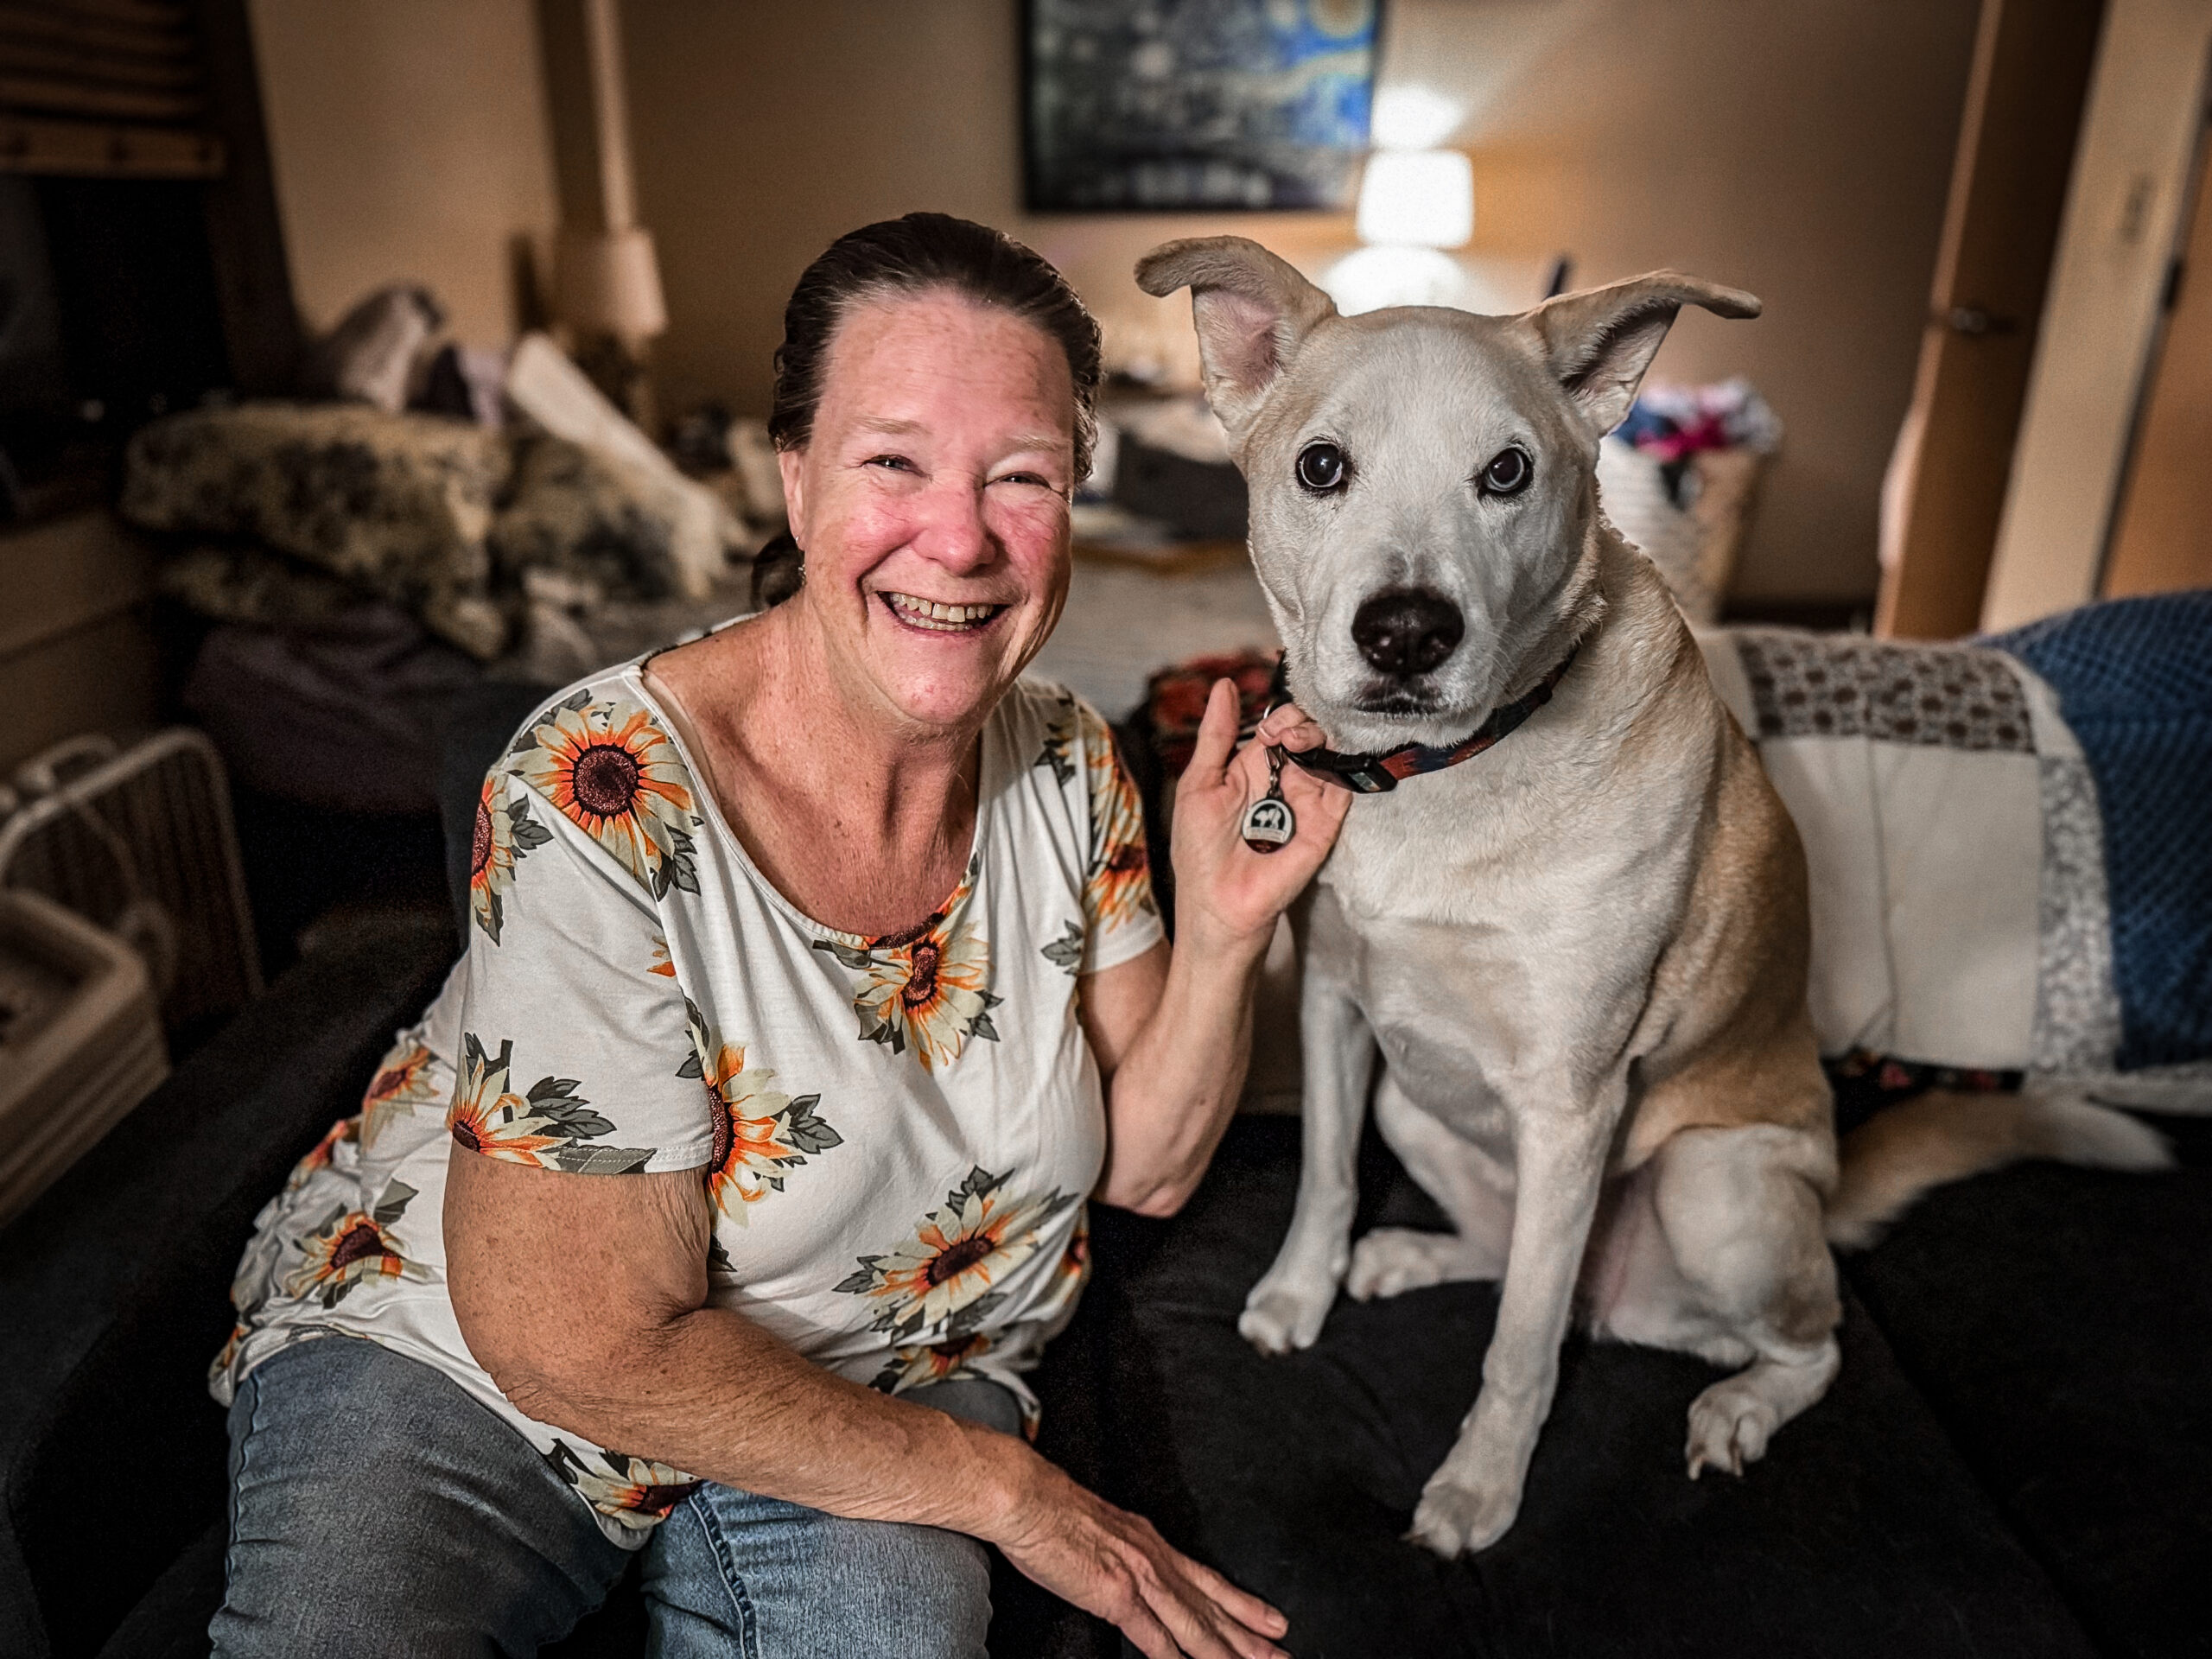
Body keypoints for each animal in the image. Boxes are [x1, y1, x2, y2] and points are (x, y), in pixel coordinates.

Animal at [1132, 239, 2167, 1566]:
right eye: (1322, 468)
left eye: (1507, 472)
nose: (1408, 633)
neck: (1442, 779)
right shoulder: (1333, 1006)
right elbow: (1325, 1176)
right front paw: (1299, 1294)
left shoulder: (1571, 1103)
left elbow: (1521, 1345)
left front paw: (1480, 1489)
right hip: (1425, 1109)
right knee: (1527, 1263)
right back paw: (1410, 1255)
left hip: (1710, 1187)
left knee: (1785, 1342)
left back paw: (1736, 1409)